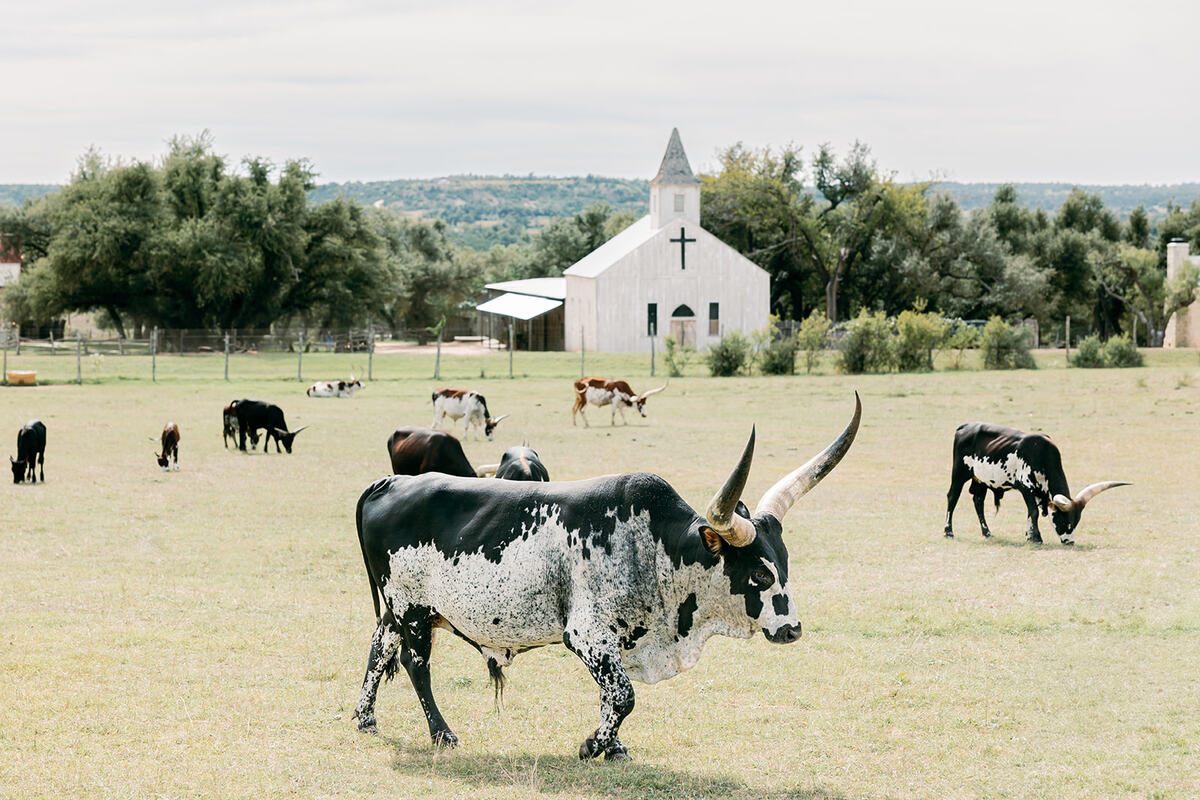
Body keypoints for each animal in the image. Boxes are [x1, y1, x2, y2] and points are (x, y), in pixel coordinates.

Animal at [350, 398, 859, 762]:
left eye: (785, 563)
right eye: (757, 572)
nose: (792, 629)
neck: (656, 546)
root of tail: (389, 483)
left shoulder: (614, 641)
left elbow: (610, 696)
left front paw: (611, 746)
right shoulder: (587, 634)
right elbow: (623, 695)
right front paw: (592, 745)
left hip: (397, 612)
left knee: (379, 650)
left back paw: (365, 720)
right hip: (413, 611)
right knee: (416, 666)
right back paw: (442, 734)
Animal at [940, 419, 1128, 544]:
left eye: (1075, 522)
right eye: (1064, 520)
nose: (1069, 541)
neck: (1043, 454)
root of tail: (965, 426)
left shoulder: (1038, 491)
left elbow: (1031, 513)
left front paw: (1029, 535)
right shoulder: (1026, 488)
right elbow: (1034, 512)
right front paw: (1036, 538)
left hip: (981, 480)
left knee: (978, 501)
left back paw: (987, 532)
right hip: (959, 473)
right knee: (952, 497)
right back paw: (948, 531)